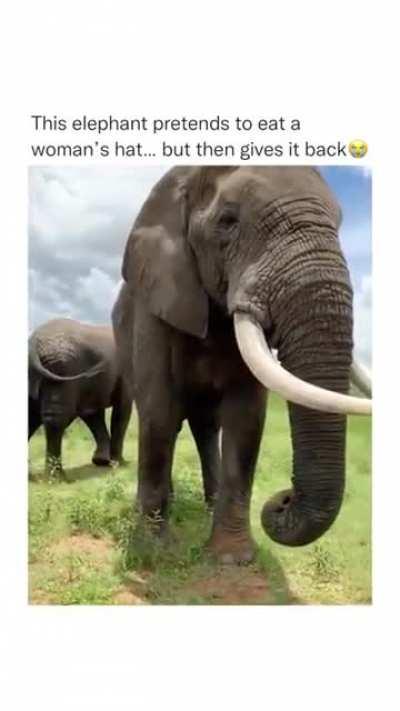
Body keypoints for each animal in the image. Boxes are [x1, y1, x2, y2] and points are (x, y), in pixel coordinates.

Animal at [28, 318, 132, 479]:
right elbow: (121, 410)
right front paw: (118, 464)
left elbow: (93, 415)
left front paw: (101, 461)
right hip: (62, 365)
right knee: (55, 416)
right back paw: (56, 479)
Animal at [112, 166, 372, 564]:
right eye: (227, 222)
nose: (282, 499)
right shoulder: (156, 301)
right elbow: (159, 408)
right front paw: (153, 552)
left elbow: (246, 418)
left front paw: (232, 559)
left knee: (206, 427)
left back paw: (209, 505)